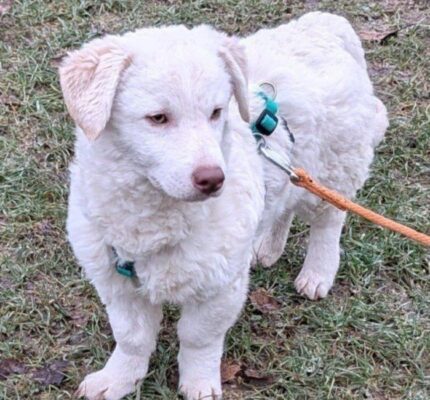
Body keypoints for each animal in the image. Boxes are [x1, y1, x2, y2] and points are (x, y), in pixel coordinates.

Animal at [60, 12, 388, 400]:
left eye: (216, 112)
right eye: (158, 118)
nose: (214, 179)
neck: (154, 215)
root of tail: (327, 24)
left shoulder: (220, 286)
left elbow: (198, 338)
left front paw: (199, 384)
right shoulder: (116, 281)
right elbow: (131, 338)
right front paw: (117, 379)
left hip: (337, 165)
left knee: (328, 220)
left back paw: (317, 273)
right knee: (283, 206)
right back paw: (268, 247)